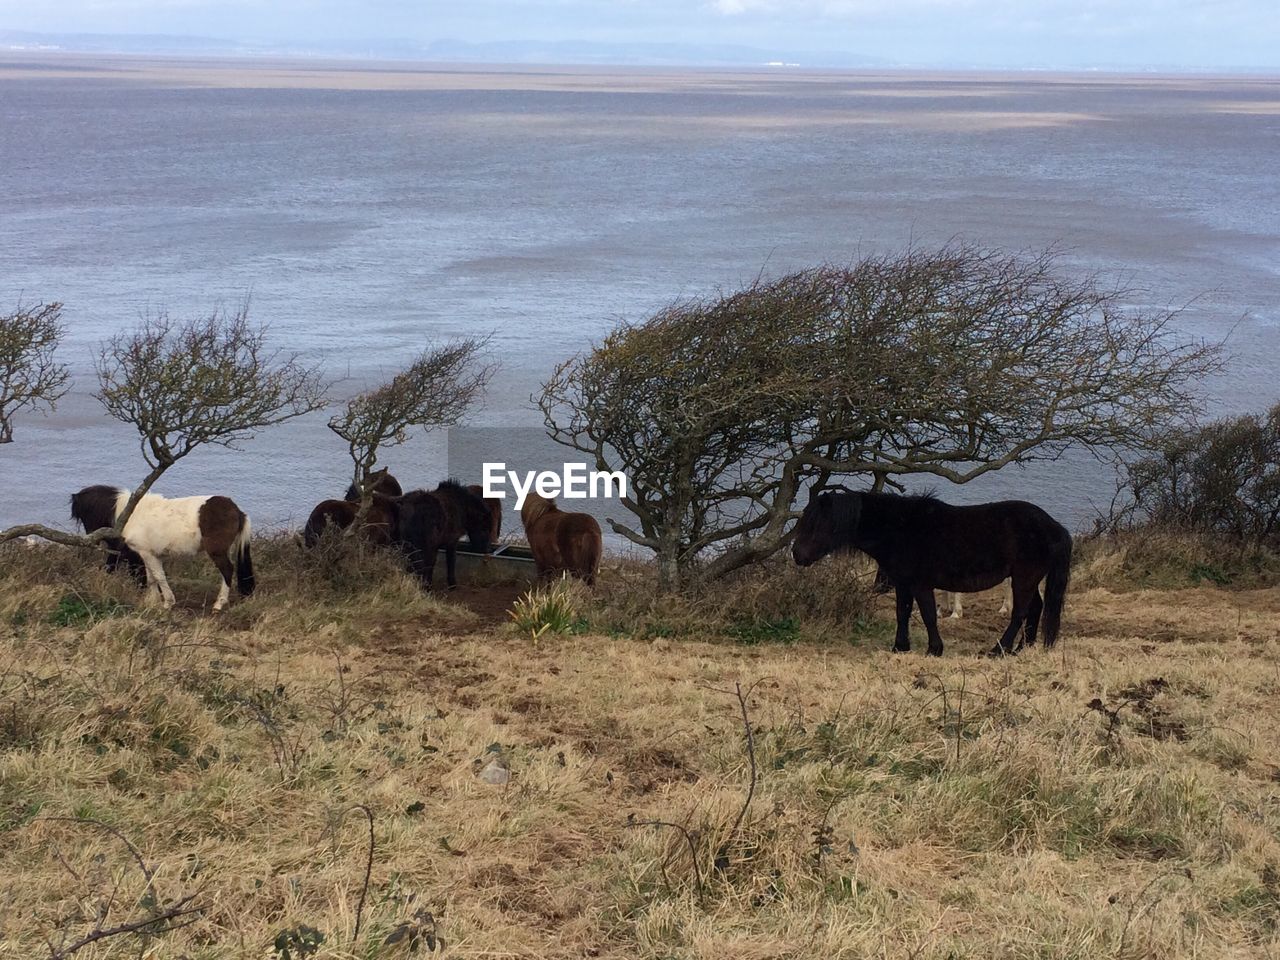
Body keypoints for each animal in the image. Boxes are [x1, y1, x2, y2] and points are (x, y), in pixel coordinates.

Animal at [71, 488, 256, 616]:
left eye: (84, 513)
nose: (91, 537)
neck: (131, 514)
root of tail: (237, 511)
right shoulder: (149, 554)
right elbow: (152, 578)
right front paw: (151, 601)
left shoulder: (146, 553)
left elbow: (159, 577)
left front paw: (167, 603)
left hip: (217, 552)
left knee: (227, 570)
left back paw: (219, 604)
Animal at [788, 491, 1070, 660]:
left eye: (817, 523)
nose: (797, 554)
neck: (901, 529)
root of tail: (1053, 525)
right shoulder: (903, 583)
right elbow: (902, 613)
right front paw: (900, 647)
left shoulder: (920, 584)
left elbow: (928, 615)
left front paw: (934, 649)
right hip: (1029, 579)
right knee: (1035, 608)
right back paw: (1024, 648)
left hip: (1024, 578)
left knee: (1019, 612)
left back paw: (998, 650)